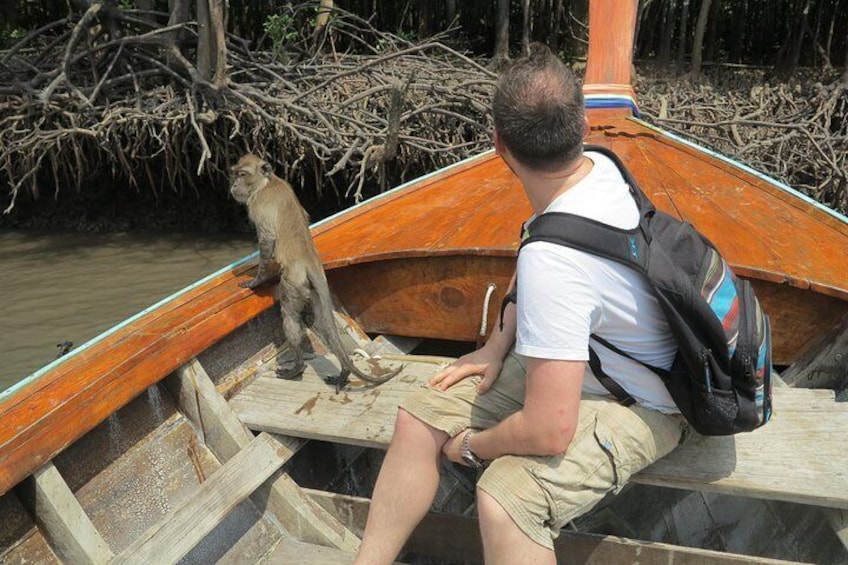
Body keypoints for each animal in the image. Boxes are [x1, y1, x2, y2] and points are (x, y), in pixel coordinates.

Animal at [227, 154, 402, 392]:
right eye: (235, 174)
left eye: (243, 175)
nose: (234, 185)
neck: (266, 182)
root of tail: (310, 261)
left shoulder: (258, 205)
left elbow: (268, 239)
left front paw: (256, 281)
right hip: (310, 288)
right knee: (322, 323)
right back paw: (344, 371)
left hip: (293, 283)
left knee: (290, 316)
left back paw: (297, 367)